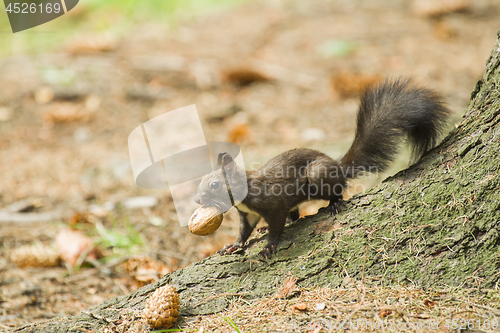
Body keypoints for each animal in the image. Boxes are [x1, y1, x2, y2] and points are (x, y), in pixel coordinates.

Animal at [193, 78, 452, 256]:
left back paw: (334, 203)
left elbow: (276, 225)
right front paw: (234, 245)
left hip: (317, 174)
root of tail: (338, 167)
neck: (246, 195)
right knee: (295, 214)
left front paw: (270, 246)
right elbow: (244, 232)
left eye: (214, 184)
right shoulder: (248, 215)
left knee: (337, 191)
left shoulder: (273, 204)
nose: (196, 200)